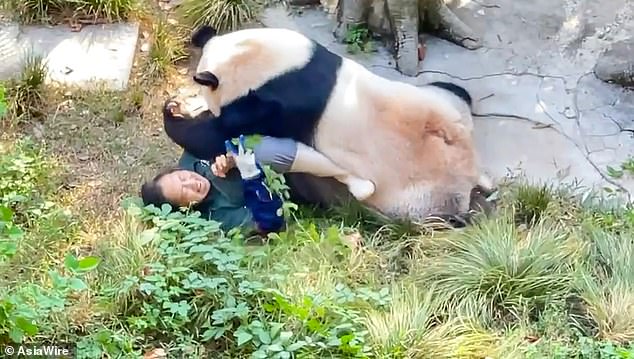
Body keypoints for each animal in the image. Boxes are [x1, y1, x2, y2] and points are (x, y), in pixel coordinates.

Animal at [185, 24, 492, 222]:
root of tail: (472, 173)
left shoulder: (275, 104)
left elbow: (221, 135)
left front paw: (182, 118)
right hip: (443, 102)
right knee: (454, 91)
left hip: (419, 197)